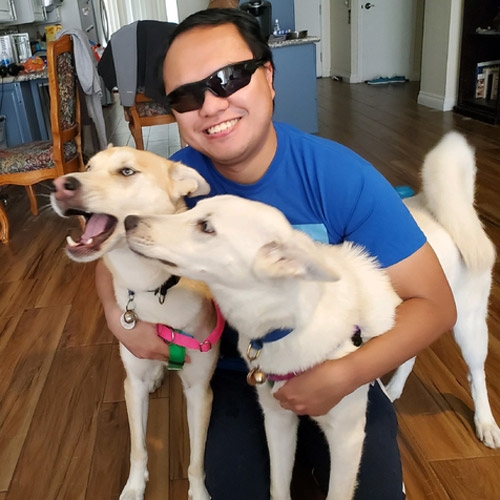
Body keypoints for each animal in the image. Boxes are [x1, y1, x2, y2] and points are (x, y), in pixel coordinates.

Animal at [51, 146, 223, 500]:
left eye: (127, 172)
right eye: (88, 166)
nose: (59, 185)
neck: (153, 288)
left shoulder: (200, 391)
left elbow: (196, 461)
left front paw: (199, 492)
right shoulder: (133, 385)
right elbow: (139, 448)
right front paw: (133, 488)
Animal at [125, 133, 500, 500]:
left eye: (205, 227)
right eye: (193, 208)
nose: (129, 220)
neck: (286, 325)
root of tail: (442, 210)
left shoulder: (348, 437)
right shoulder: (276, 419)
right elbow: (278, 486)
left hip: (467, 325)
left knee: (475, 373)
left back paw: (485, 422)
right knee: (410, 354)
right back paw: (391, 389)